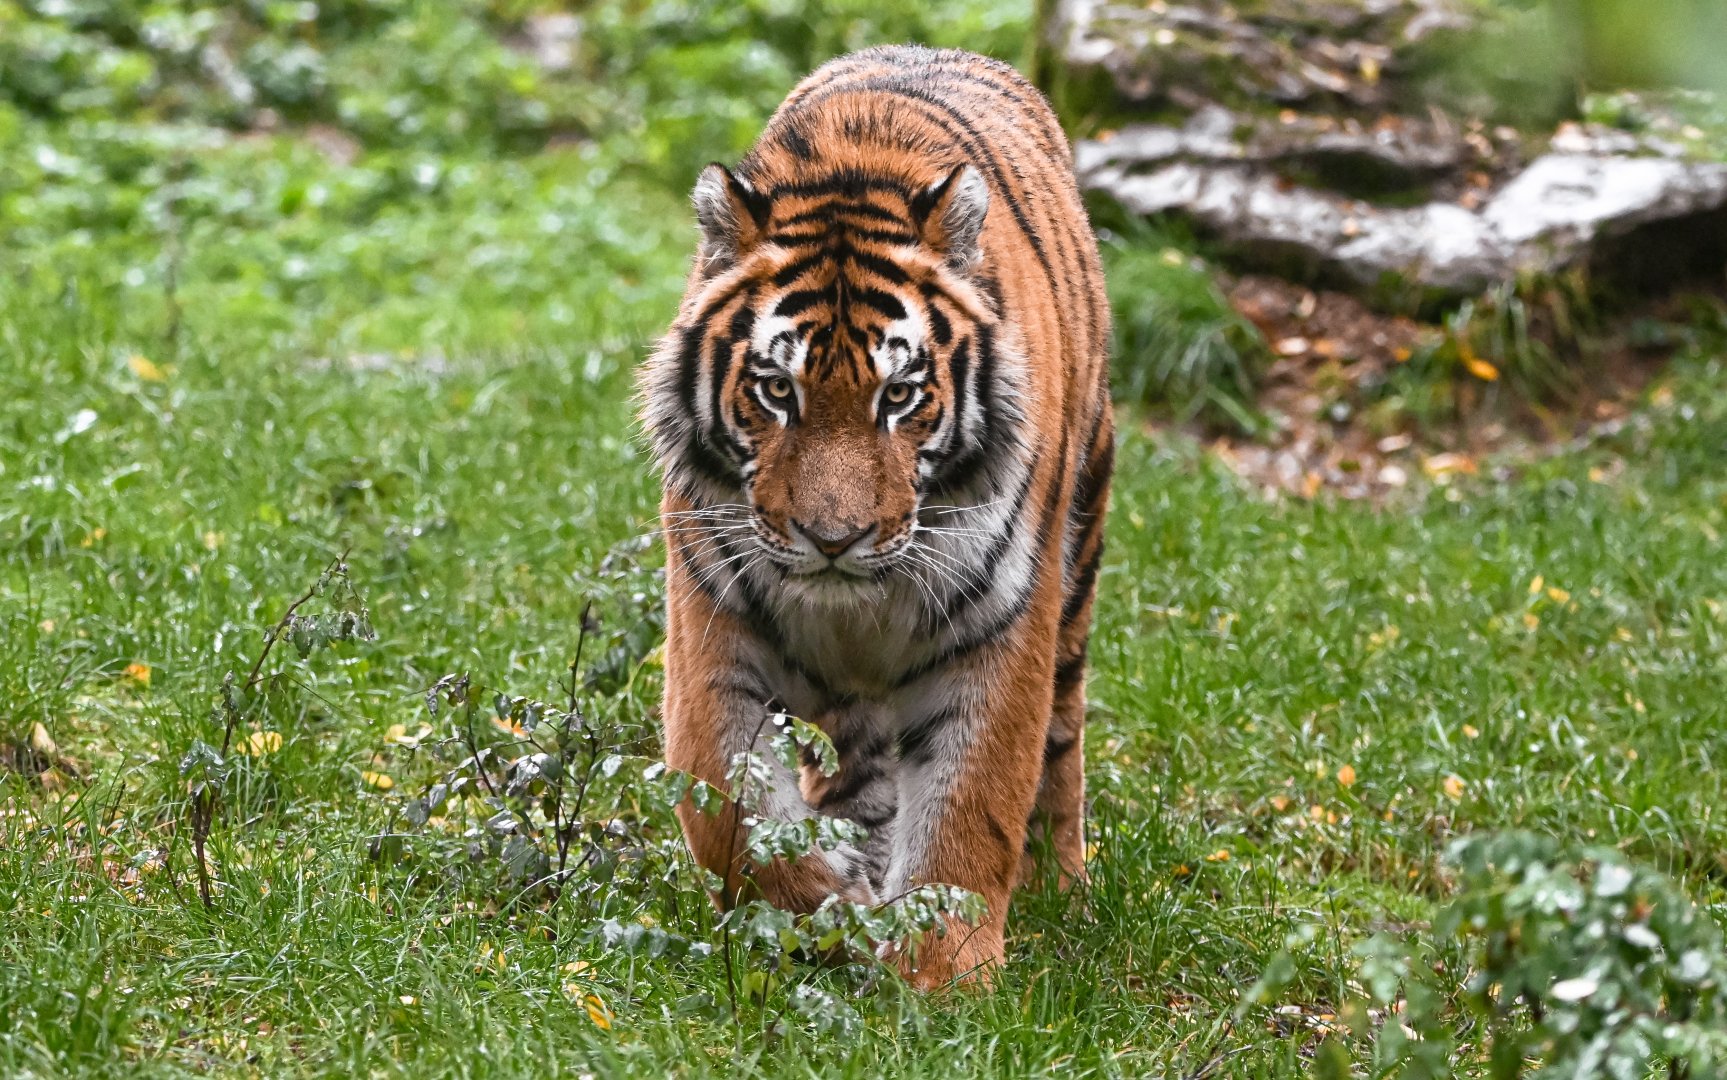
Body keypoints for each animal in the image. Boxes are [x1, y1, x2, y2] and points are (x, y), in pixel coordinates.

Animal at [640, 44, 1113, 989]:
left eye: (898, 396)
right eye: (774, 390)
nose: (834, 540)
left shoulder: (997, 630)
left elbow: (971, 812)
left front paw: (943, 976)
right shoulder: (713, 622)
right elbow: (729, 815)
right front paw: (826, 912)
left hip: (1079, 552)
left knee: (1061, 739)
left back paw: (1059, 884)